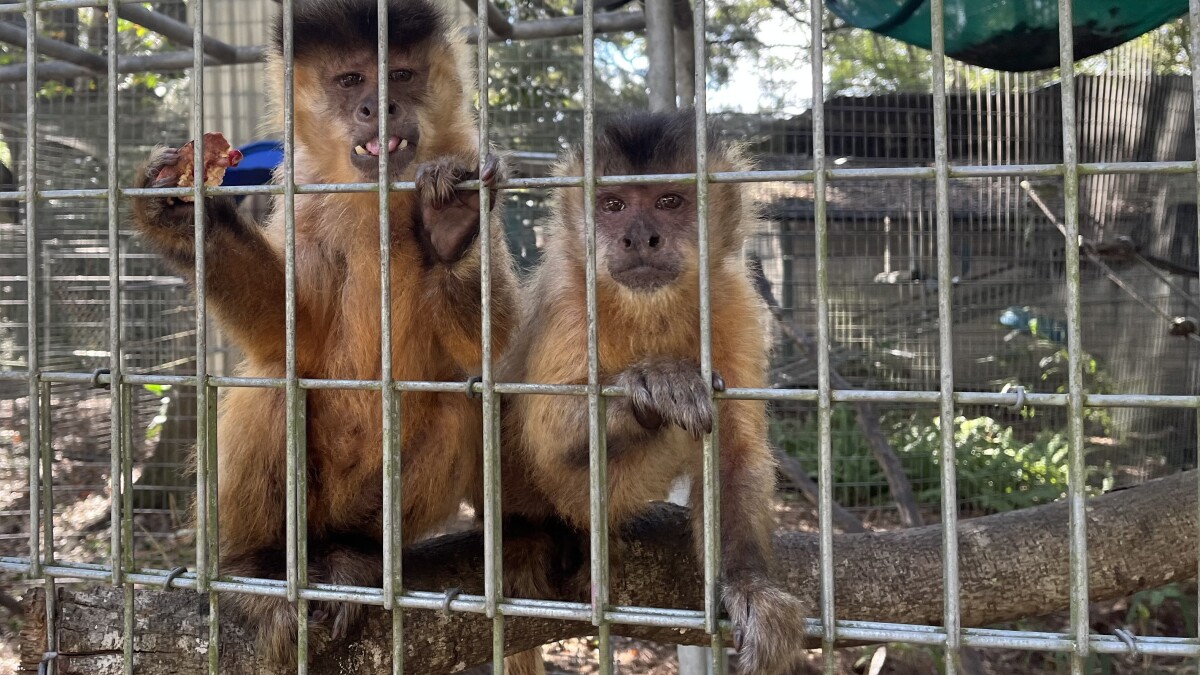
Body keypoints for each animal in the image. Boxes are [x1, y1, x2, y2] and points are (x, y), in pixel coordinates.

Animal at [128, 0, 518, 666]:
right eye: (351, 81)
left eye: (401, 75)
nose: (378, 106)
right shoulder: (304, 192)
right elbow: (291, 338)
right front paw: (183, 212)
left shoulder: (469, 153)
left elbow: (494, 348)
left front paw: (452, 226)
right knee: (276, 385)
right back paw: (257, 569)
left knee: (457, 403)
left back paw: (355, 557)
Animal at [490, 110, 809, 675]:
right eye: (614, 205)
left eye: (670, 201)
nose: (640, 238)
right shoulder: (570, 300)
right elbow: (546, 435)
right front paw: (656, 383)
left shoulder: (732, 300)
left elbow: (735, 453)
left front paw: (750, 584)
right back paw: (529, 531)